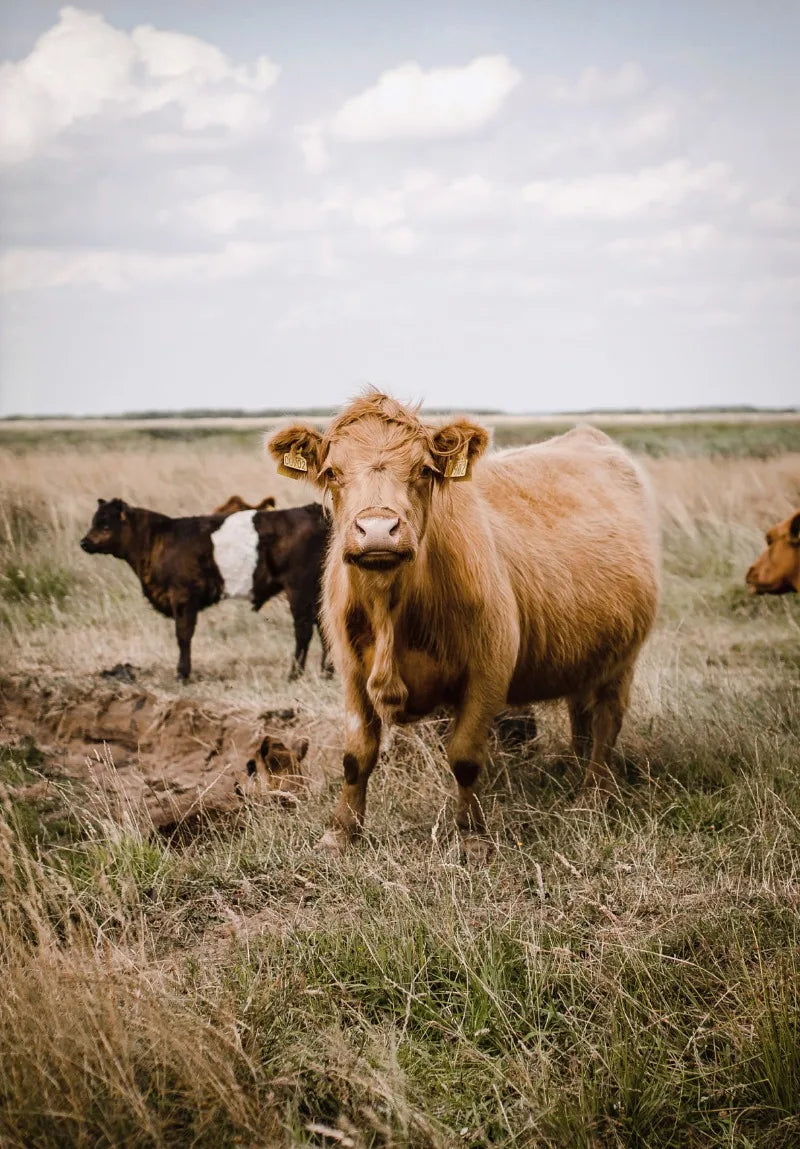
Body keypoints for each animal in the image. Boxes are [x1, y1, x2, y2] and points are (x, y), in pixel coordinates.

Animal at [80, 499, 330, 682]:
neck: (156, 540)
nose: (84, 542)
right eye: (94, 521)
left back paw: (294, 674)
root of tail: (311, 509)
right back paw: (327, 671)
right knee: (323, 627)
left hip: (299, 588)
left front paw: (182, 674)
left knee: (303, 630)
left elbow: (183, 635)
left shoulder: (182, 596)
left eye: (105, 524)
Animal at [268, 390, 660, 857]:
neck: (391, 612)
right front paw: (340, 833)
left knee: (606, 720)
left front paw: (471, 835)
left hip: (623, 658)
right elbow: (356, 755)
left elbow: (465, 756)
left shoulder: (488, 669)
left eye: (423, 469)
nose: (378, 530)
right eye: (332, 472)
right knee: (581, 713)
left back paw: (593, 795)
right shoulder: (350, 671)